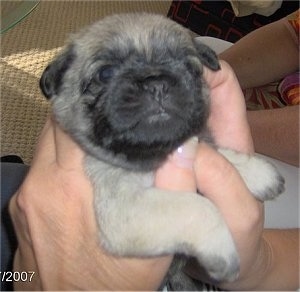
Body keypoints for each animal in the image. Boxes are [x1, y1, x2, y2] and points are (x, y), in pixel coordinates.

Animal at [39, 13, 284, 286]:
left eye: (189, 67)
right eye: (105, 74)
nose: (157, 83)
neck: (156, 153)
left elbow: (219, 152)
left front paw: (256, 173)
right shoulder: (126, 210)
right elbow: (199, 208)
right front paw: (222, 249)